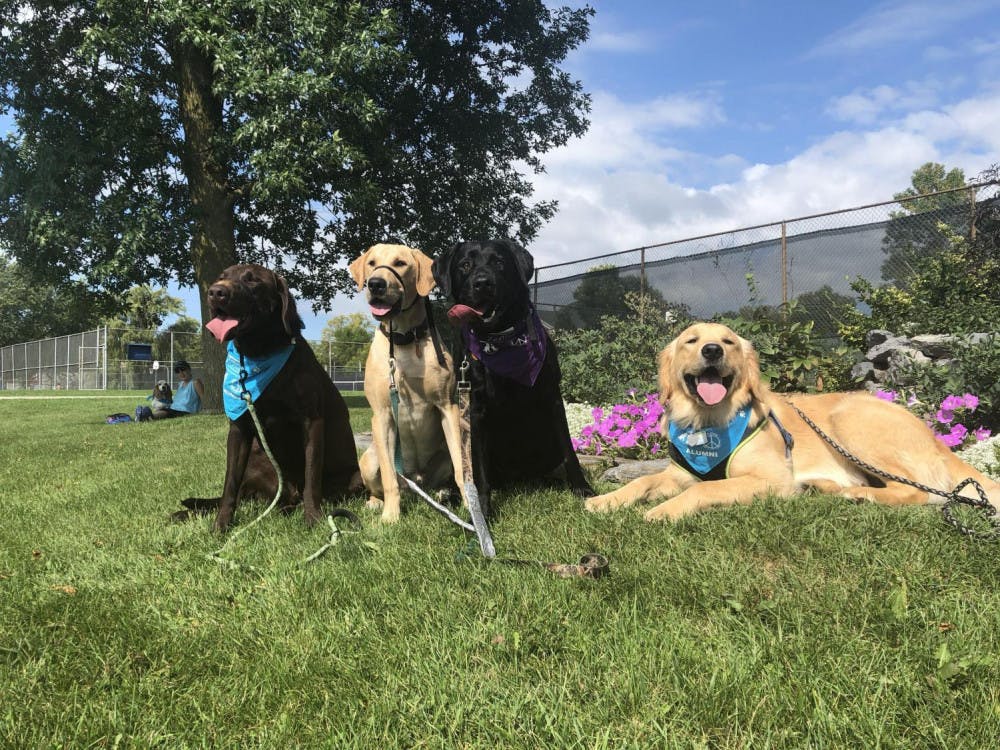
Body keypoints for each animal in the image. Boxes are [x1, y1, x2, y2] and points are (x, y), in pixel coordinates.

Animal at [182, 264, 362, 536]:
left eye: (253, 280)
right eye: (222, 276)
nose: (215, 292)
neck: (259, 353)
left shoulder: (311, 422)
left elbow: (312, 477)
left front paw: (314, 519)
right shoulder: (239, 428)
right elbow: (229, 485)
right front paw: (221, 526)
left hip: (355, 478)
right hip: (258, 464)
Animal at [348, 244, 464, 524]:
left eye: (400, 263)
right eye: (371, 263)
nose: (376, 284)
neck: (404, 340)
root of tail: (415, 481)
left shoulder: (448, 406)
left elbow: (462, 469)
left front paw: (473, 508)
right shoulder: (382, 415)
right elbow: (390, 478)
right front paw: (391, 517)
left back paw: (443, 493)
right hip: (370, 459)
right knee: (385, 482)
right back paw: (376, 503)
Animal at [432, 241, 592, 516]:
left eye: (499, 262)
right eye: (465, 265)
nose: (483, 283)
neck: (501, 338)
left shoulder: (552, 398)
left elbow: (570, 452)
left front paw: (583, 489)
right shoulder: (475, 408)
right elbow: (479, 468)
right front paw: (483, 509)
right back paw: (451, 493)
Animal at [584, 322, 1000, 524]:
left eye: (728, 341)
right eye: (691, 340)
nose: (712, 350)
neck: (711, 419)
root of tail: (936, 439)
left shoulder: (771, 479)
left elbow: (707, 489)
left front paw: (664, 511)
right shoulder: (680, 471)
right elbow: (642, 480)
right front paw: (606, 500)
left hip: (851, 419)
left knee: (920, 493)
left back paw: (857, 495)